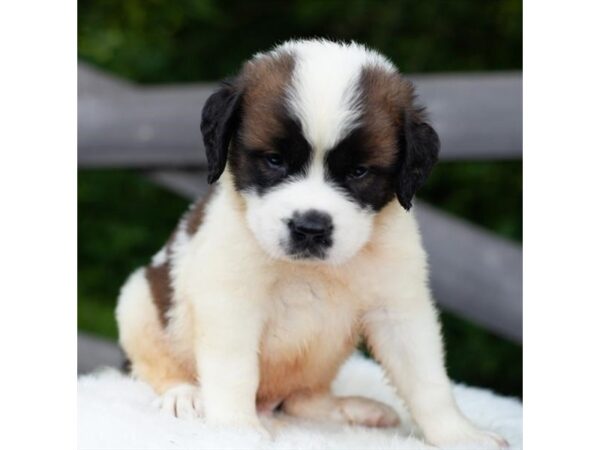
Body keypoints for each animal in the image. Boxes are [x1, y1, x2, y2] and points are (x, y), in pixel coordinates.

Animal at [116, 40, 506, 448]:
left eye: (358, 172)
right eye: (274, 160)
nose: (310, 228)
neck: (309, 270)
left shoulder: (399, 306)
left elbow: (427, 379)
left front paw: (459, 433)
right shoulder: (231, 302)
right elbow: (234, 369)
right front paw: (236, 429)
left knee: (303, 400)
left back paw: (351, 409)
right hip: (138, 302)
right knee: (152, 366)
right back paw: (183, 394)